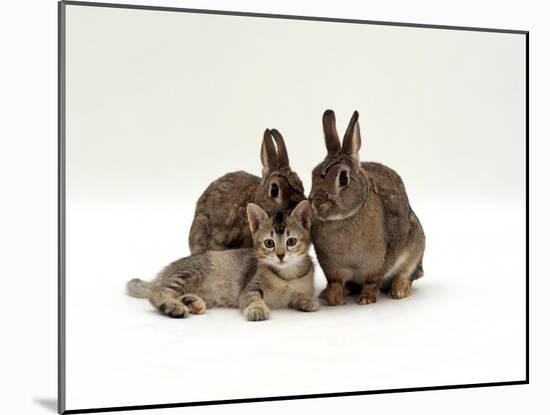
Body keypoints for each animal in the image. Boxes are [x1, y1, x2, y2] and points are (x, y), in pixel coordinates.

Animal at [128, 201, 320, 322]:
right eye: (269, 243)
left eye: (291, 241)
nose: (280, 255)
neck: (287, 275)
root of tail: (162, 275)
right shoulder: (249, 288)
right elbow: (253, 299)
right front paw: (257, 309)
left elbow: (298, 295)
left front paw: (308, 301)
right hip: (190, 273)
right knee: (158, 294)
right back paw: (175, 307)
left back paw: (191, 302)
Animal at [310, 110, 426, 306]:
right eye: (313, 174)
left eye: (343, 178)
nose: (317, 203)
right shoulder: (332, 268)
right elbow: (335, 283)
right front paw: (333, 299)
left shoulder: (376, 264)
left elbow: (372, 281)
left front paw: (366, 299)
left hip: (416, 244)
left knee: (406, 274)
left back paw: (399, 290)